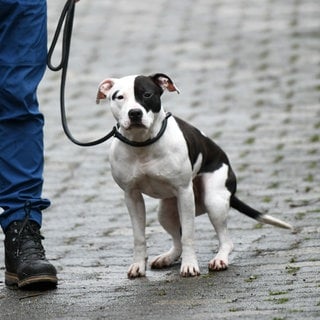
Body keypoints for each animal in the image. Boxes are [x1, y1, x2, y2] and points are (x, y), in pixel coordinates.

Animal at [96, 72, 294, 278]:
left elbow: (189, 235)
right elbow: (139, 237)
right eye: (119, 97)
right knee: (177, 239)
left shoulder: (184, 193)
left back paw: (220, 260)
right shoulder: (132, 196)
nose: (135, 113)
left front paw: (190, 265)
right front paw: (137, 265)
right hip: (166, 212)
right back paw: (167, 258)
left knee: (225, 240)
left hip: (214, 200)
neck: (143, 144)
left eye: (147, 94)